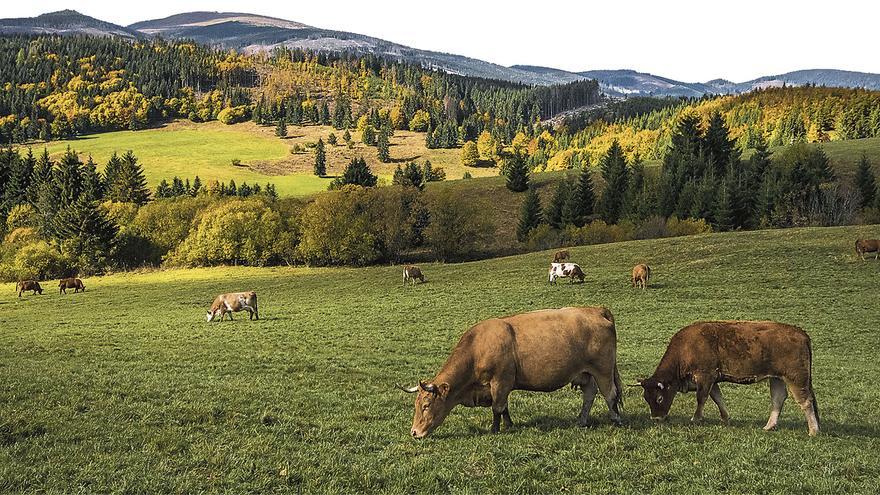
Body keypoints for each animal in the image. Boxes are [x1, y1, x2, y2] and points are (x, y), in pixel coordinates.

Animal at [396, 308, 624, 440]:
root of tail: (595, 310)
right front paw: (509, 424)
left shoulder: (500, 381)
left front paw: (495, 429)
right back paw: (582, 420)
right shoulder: (499, 386)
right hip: (586, 373)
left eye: (426, 405)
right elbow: (504, 406)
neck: (478, 346)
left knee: (610, 395)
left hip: (603, 370)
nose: (414, 432)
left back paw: (616, 419)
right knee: (589, 395)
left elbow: (497, 407)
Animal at [636, 320, 820, 436]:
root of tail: (800, 332)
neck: (685, 349)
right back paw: (769, 426)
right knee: (778, 399)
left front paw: (696, 418)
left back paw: (813, 430)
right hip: (777, 378)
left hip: (796, 377)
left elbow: (701, 398)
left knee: (805, 401)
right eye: (646, 398)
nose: (656, 419)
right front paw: (725, 419)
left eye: (659, 398)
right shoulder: (713, 380)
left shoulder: (705, 376)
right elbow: (718, 398)